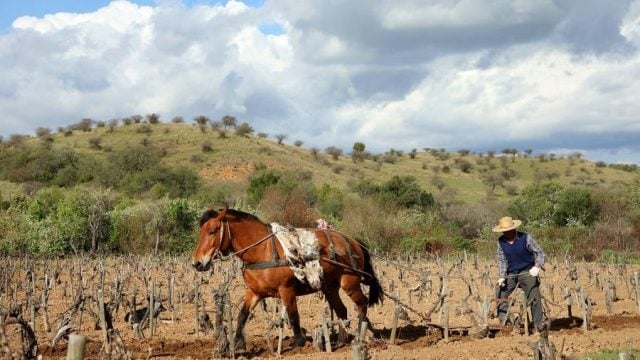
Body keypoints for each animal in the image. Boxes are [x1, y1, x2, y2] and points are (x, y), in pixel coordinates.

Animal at [190, 208, 380, 348]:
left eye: (212, 232)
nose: (197, 263)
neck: (262, 250)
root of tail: (353, 241)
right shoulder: (254, 292)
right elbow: (242, 316)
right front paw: (237, 345)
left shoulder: (286, 289)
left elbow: (293, 315)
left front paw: (299, 343)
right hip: (330, 287)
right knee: (342, 310)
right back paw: (341, 340)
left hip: (350, 283)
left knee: (362, 304)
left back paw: (360, 335)